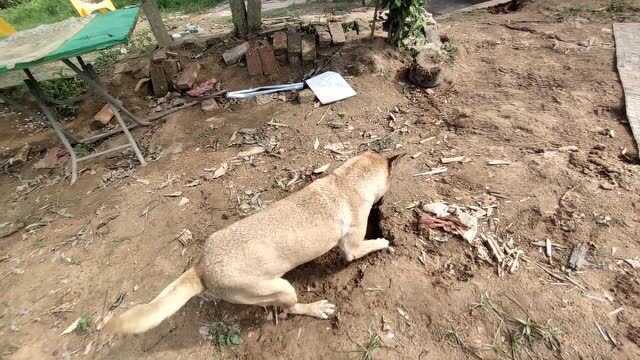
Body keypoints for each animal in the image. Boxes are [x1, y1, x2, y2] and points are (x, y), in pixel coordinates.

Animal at [107, 150, 402, 334]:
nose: (383, 203)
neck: (346, 181)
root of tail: (202, 267)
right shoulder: (352, 248)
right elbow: (367, 246)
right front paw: (383, 240)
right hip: (281, 288)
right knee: (290, 309)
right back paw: (316, 308)